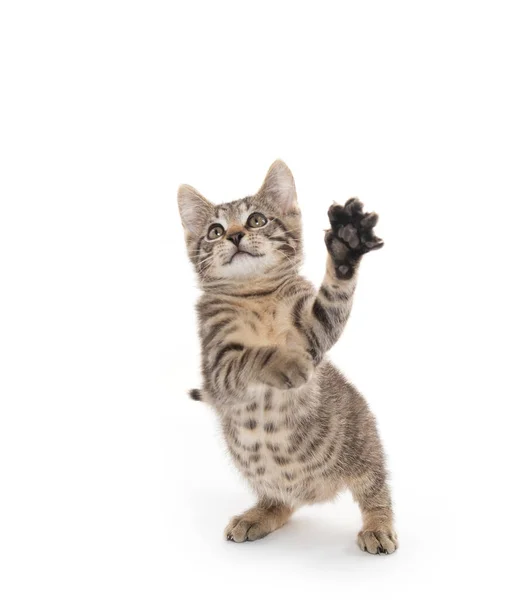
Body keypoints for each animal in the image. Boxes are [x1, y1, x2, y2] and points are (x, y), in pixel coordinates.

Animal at [178, 162, 398, 556]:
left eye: (256, 220)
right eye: (215, 231)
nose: (234, 236)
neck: (256, 294)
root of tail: (316, 492)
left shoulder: (312, 334)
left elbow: (331, 304)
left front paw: (346, 247)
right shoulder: (216, 365)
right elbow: (250, 356)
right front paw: (283, 363)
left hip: (363, 444)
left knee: (375, 487)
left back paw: (378, 525)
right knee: (282, 501)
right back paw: (259, 515)